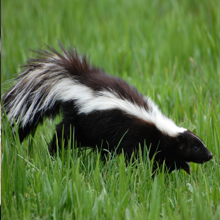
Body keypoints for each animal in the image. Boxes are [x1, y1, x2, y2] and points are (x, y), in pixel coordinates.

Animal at [2, 43, 212, 174]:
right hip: (81, 122)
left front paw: (183, 168)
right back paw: (53, 153)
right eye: (195, 147)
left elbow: (165, 160)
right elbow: (137, 157)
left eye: (200, 144)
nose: (210, 155)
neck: (160, 128)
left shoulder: (161, 147)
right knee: (63, 135)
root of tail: (76, 81)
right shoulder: (137, 137)